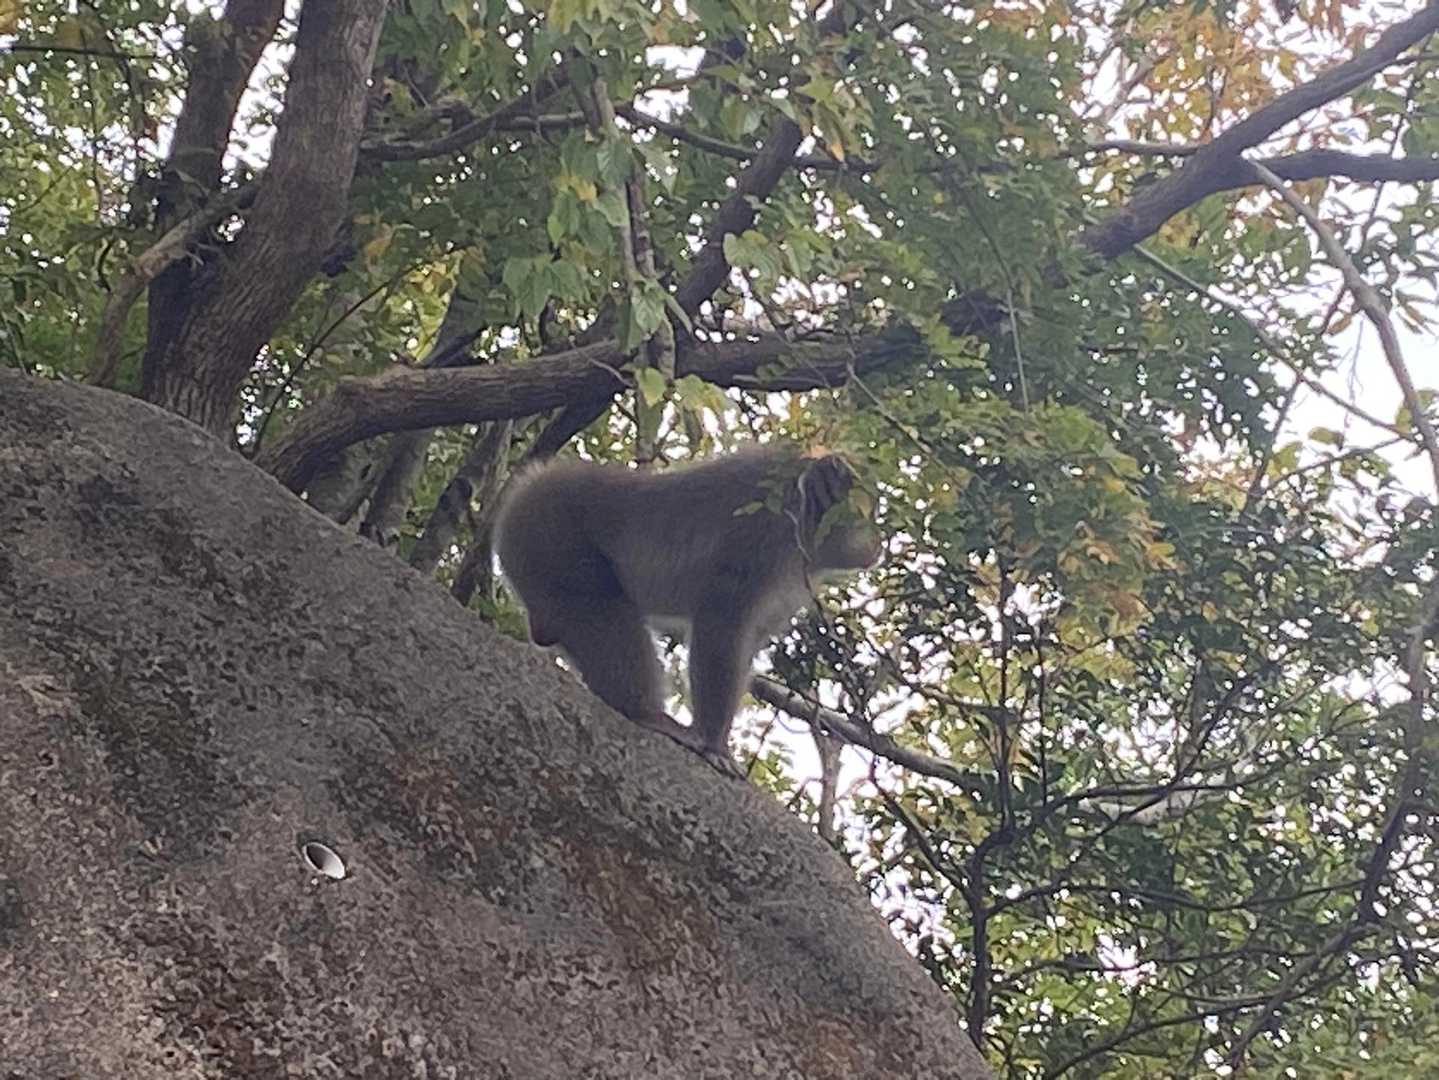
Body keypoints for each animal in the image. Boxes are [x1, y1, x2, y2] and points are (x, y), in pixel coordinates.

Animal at [494, 445, 881, 776]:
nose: (875, 545)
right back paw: (644, 712)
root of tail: (529, 487)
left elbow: (750, 638)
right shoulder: (761, 533)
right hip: (551, 536)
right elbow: (721, 626)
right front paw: (714, 745)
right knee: (602, 608)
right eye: (864, 512)